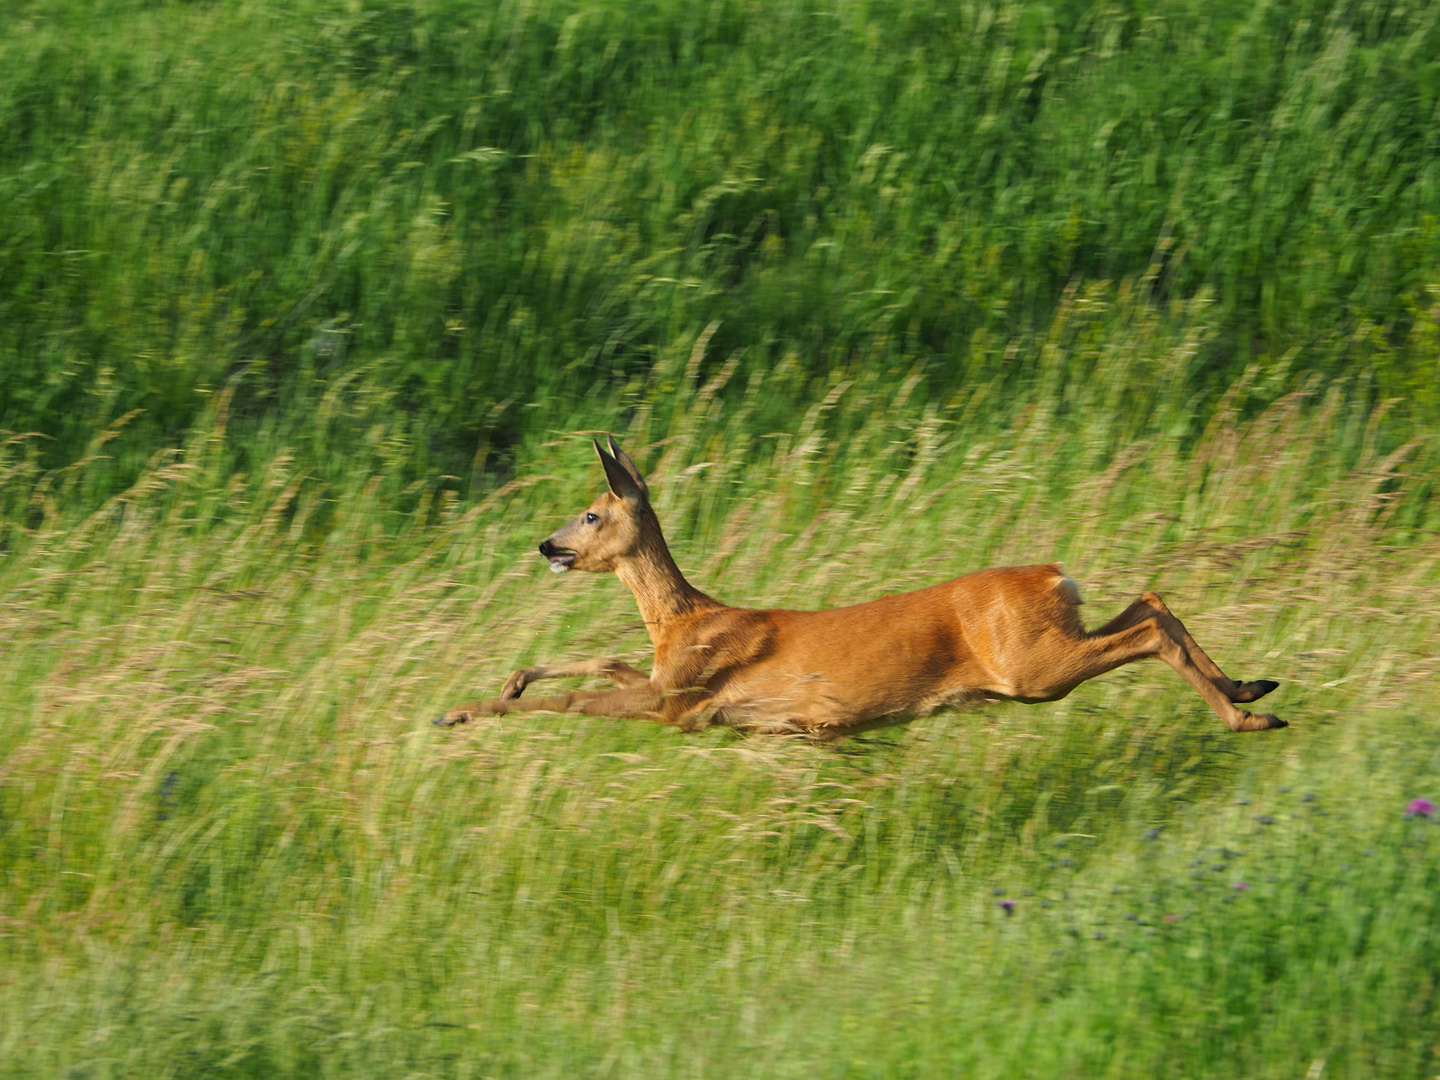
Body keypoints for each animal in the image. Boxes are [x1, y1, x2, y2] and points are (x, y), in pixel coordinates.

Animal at [432, 437, 1290, 737]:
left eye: (590, 511)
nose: (546, 546)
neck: (684, 619)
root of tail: (1057, 575)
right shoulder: (672, 683)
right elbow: (602, 663)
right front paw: (509, 680)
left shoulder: (682, 701)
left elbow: (585, 695)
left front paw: (460, 711)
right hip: (1056, 638)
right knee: (1155, 600)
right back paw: (1254, 689)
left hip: (1032, 667)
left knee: (1146, 626)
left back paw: (1247, 717)